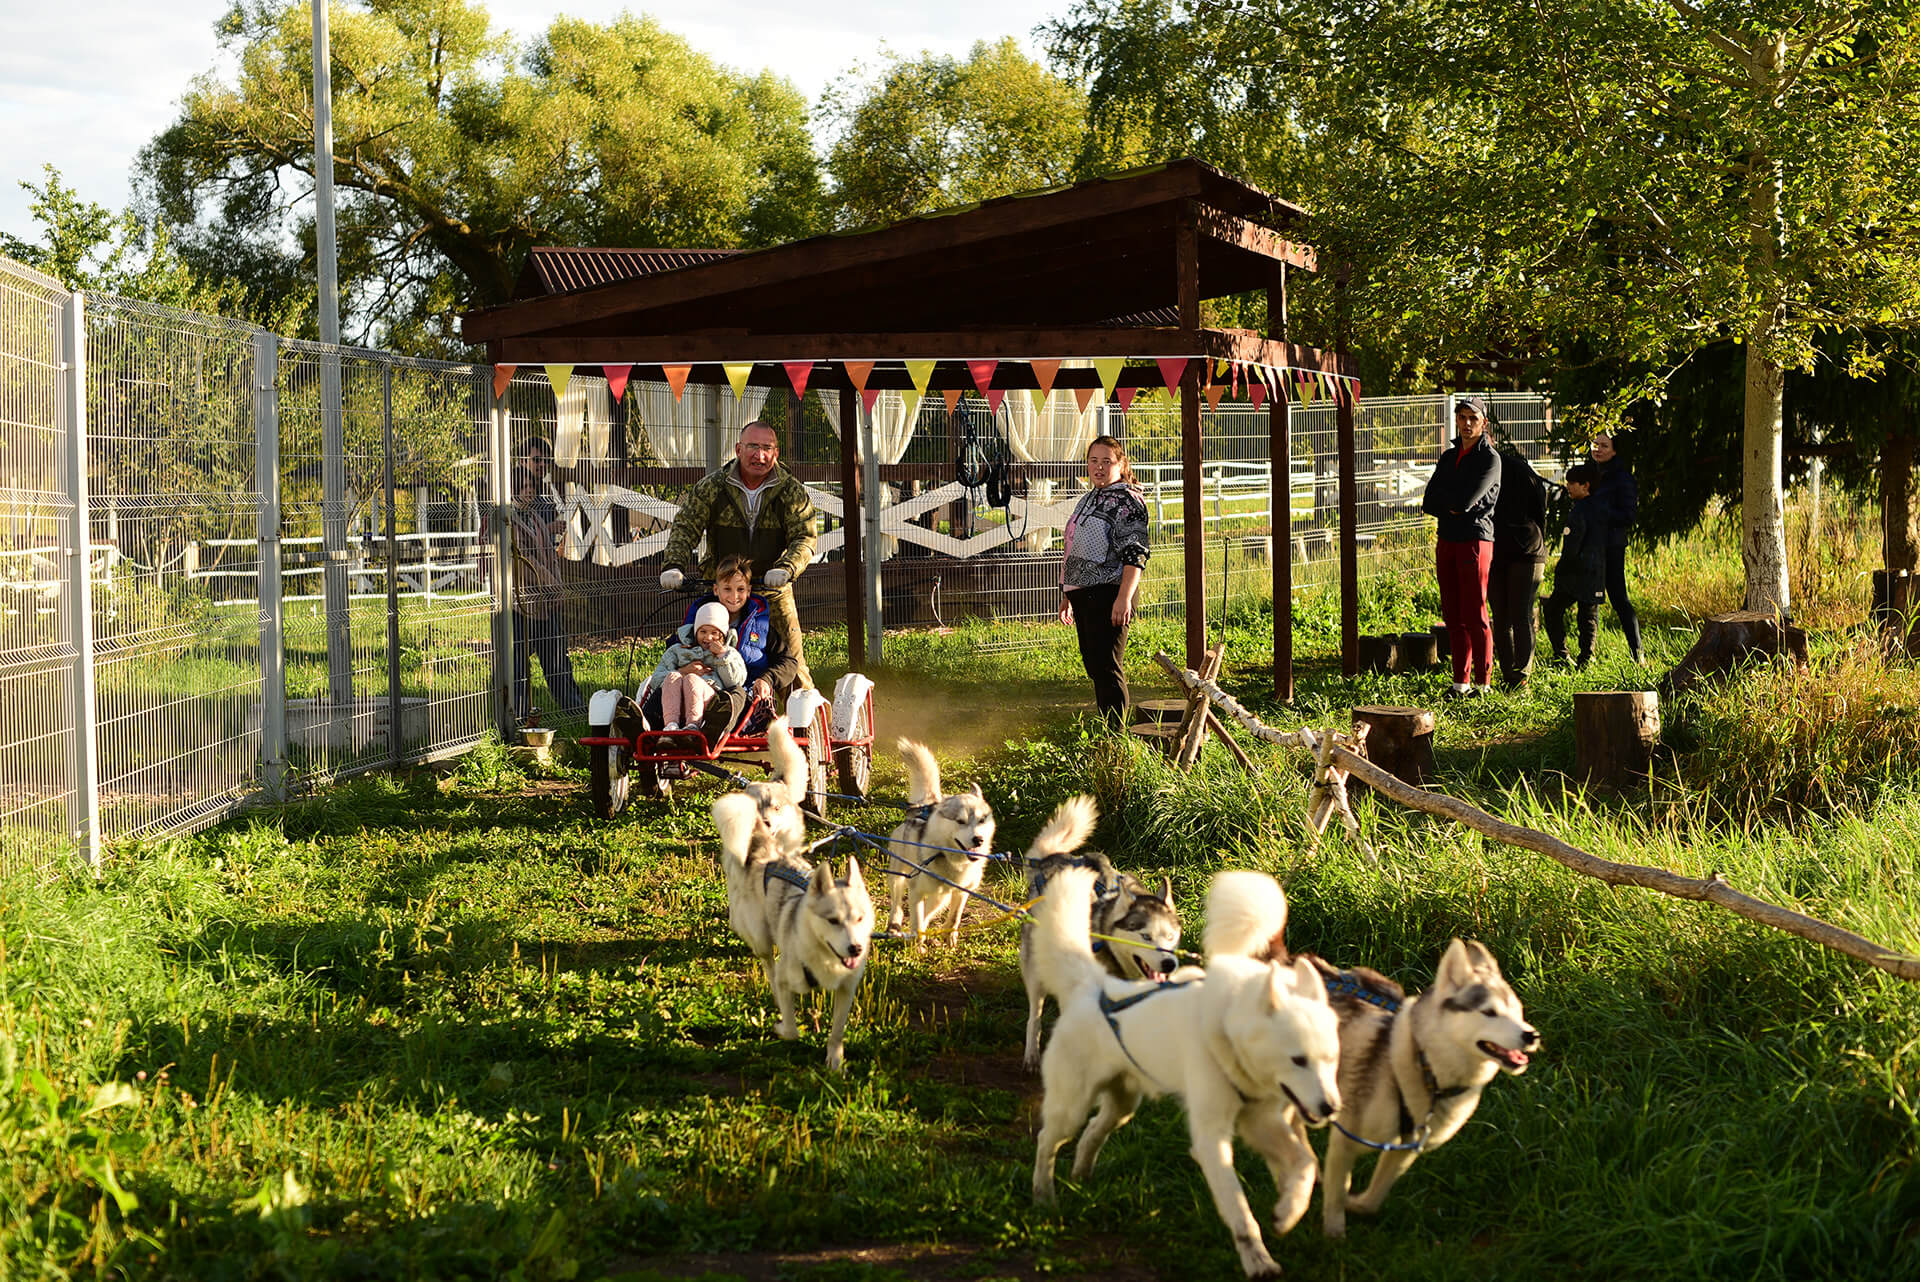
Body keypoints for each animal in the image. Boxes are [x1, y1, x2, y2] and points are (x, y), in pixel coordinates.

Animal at [714, 717, 879, 1067]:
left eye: (859, 919)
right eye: (832, 920)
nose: (856, 948)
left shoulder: (846, 992)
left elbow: (836, 1033)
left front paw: (834, 1061)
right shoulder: (789, 978)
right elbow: (789, 1024)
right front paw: (784, 1026)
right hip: (762, 937)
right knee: (768, 964)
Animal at [887, 736, 998, 948]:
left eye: (982, 820)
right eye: (960, 821)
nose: (978, 840)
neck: (951, 861)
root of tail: (926, 804)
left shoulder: (961, 892)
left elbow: (954, 918)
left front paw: (949, 937)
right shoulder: (916, 890)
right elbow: (917, 921)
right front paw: (918, 947)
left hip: (941, 896)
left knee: (930, 911)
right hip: (898, 874)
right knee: (897, 902)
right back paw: (894, 925)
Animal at [1021, 806, 1182, 1067]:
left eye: (1170, 936)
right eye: (1145, 936)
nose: (1169, 964)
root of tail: (1050, 861)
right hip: (1035, 970)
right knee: (1034, 1014)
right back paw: (1032, 1053)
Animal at [1036, 844, 1336, 1274]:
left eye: (1331, 1060)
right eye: (1298, 1060)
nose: (1330, 1108)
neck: (1225, 1033)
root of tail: (1094, 985)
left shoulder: (1261, 1122)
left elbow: (1305, 1165)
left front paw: (1288, 1211)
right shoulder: (1212, 1139)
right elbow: (1240, 1210)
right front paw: (1258, 1260)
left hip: (1123, 1104)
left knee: (1094, 1130)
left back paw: (1081, 1174)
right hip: (1070, 1107)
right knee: (1047, 1140)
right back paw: (1043, 1195)